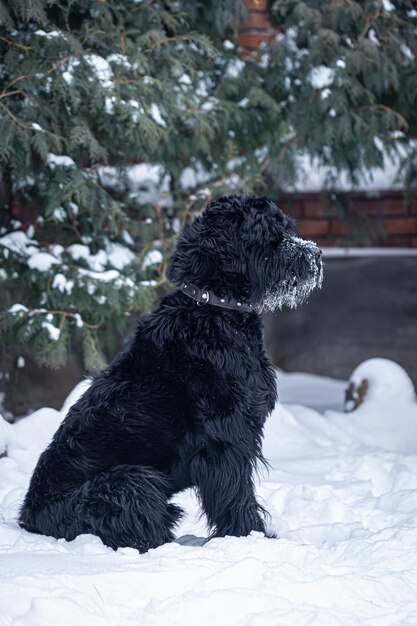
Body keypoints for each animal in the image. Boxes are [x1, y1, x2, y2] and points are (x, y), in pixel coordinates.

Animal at [19, 195, 324, 552]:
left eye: (288, 228)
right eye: (270, 234)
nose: (316, 255)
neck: (213, 309)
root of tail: (28, 518)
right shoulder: (225, 439)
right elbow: (236, 495)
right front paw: (250, 537)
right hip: (130, 482)